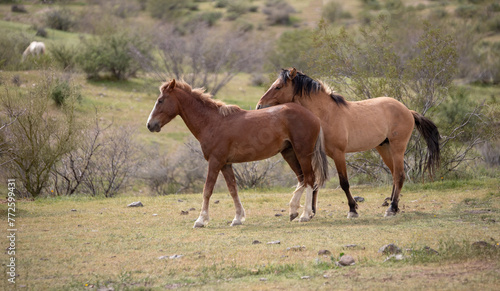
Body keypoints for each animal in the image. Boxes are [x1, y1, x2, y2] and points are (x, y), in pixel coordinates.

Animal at [146, 80, 330, 228]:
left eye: (160, 100)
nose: (150, 125)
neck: (212, 122)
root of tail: (313, 116)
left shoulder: (215, 162)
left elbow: (207, 190)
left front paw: (200, 220)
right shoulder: (226, 164)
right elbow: (233, 189)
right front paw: (238, 218)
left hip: (303, 153)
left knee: (309, 179)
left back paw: (305, 215)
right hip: (289, 153)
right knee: (302, 179)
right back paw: (294, 211)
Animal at [256, 68, 440, 218]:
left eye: (278, 87)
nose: (259, 106)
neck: (326, 114)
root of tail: (407, 110)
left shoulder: (338, 154)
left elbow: (343, 183)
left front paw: (352, 209)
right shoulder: (316, 154)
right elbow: (314, 181)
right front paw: (312, 211)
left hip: (397, 148)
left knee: (399, 176)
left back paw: (392, 209)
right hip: (384, 148)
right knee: (395, 175)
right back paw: (394, 207)